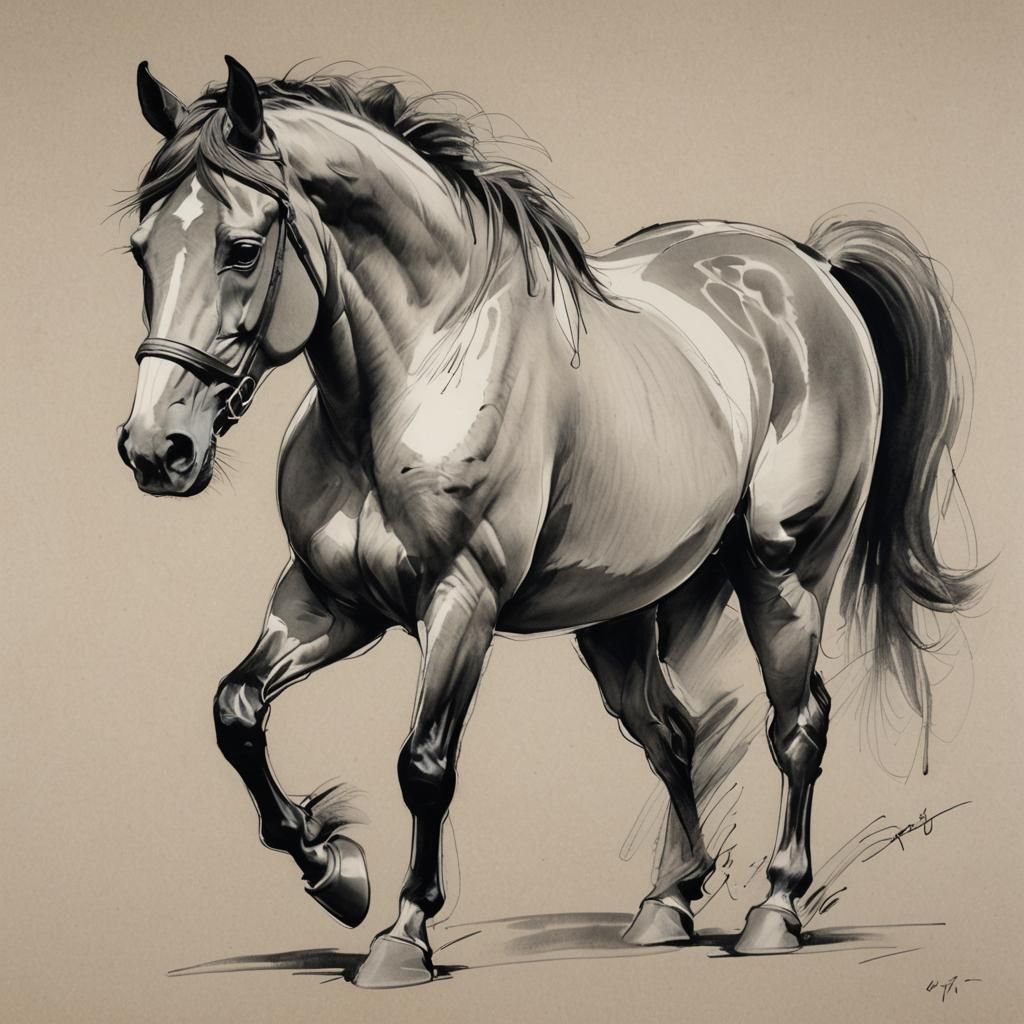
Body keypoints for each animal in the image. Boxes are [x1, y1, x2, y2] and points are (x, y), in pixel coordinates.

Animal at [116, 56, 977, 987]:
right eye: (141, 251)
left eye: (241, 249)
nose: (155, 449)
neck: (422, 371)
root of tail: (808, 268)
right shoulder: (328, 602)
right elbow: (235, 710)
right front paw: (333, 870)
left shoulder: (461, 605)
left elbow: (424, 765)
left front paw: (401, 935)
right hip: (618, 615)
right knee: (673, 734)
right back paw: (667, 905)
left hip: (782, 575)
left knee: (797, 727)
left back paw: (774, 910)